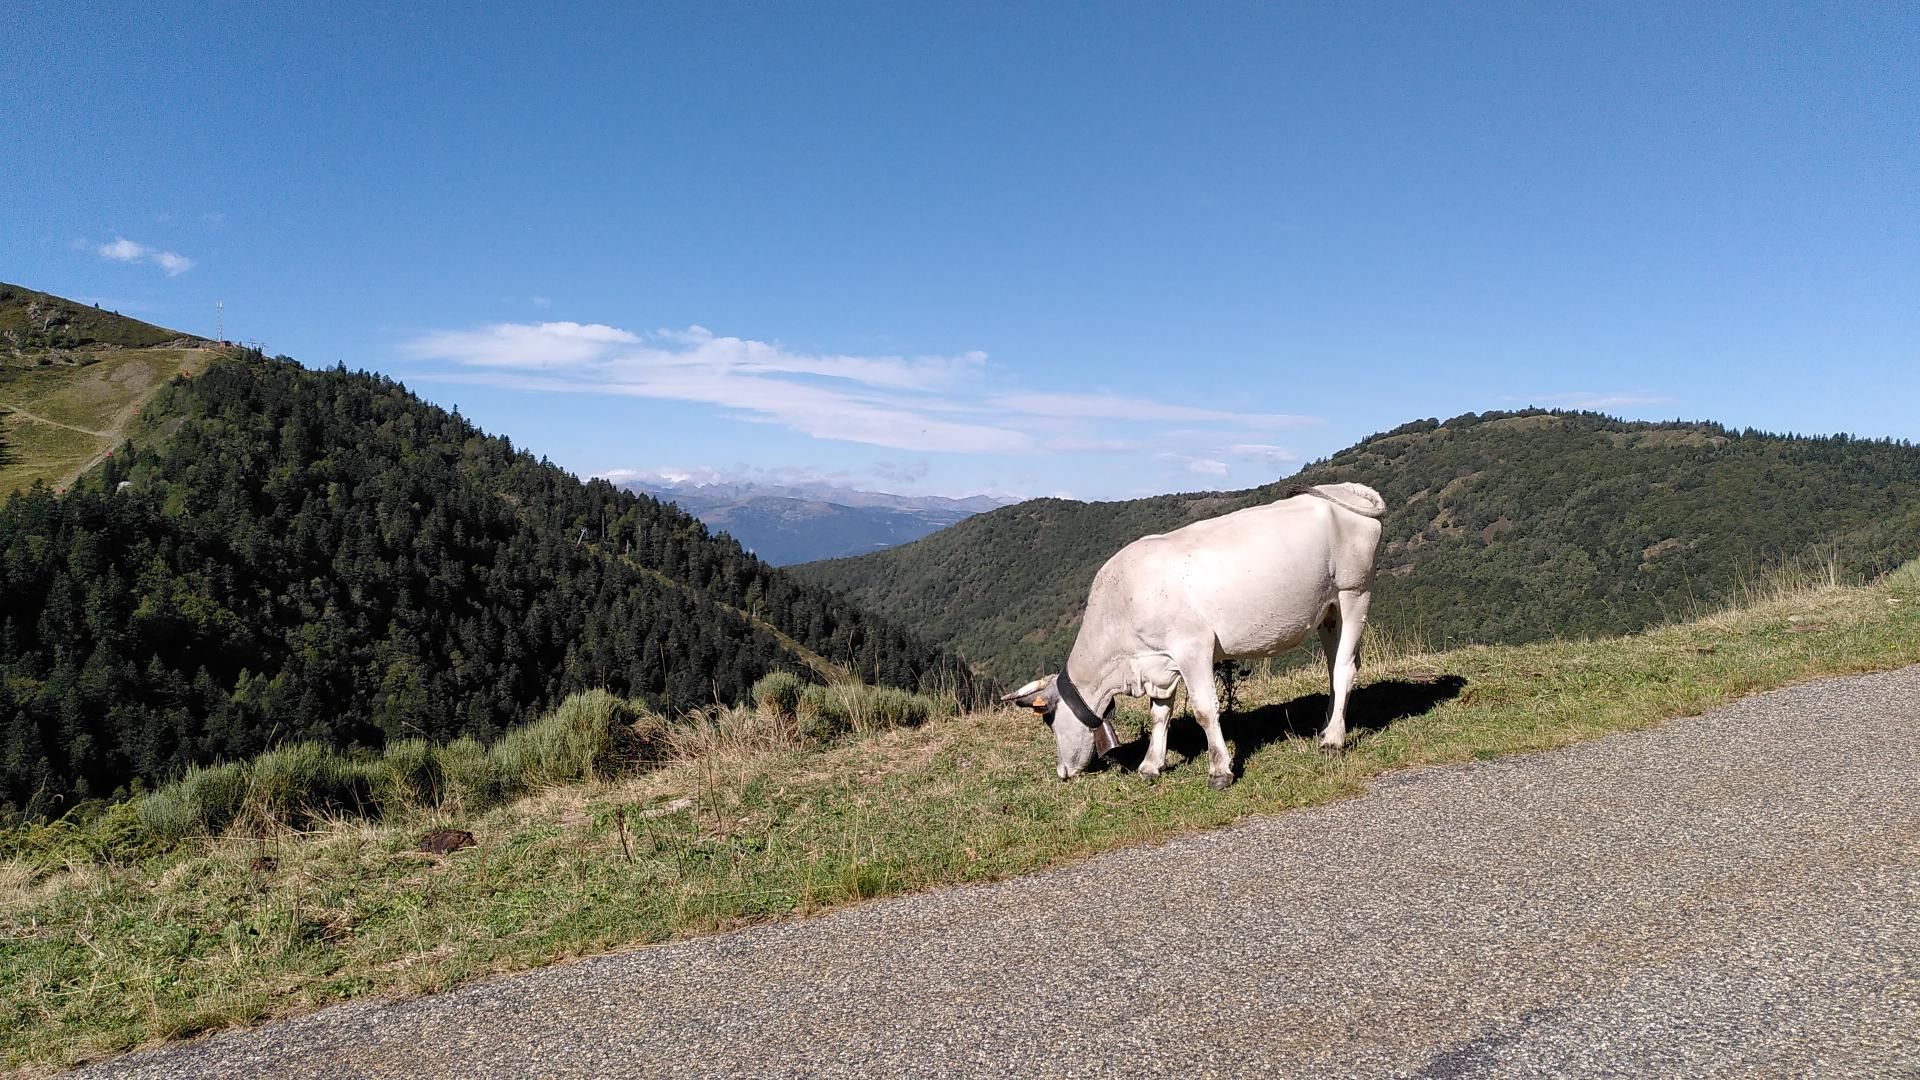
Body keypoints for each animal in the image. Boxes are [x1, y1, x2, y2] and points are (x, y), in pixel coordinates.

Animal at [1001, 482, 1386, 789]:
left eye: (1049, 720)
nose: (1062, 771)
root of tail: (1346, 488)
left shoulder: (1192, 646)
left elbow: (1203, 709)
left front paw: (1220, 771)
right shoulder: (1159, 661)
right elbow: (1159, 714)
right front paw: (1150, 766)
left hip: (1355, 593)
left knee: (1344, 669)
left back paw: (1333, 741)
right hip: (1328, 612)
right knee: (1336, 668)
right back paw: (1327, 728)